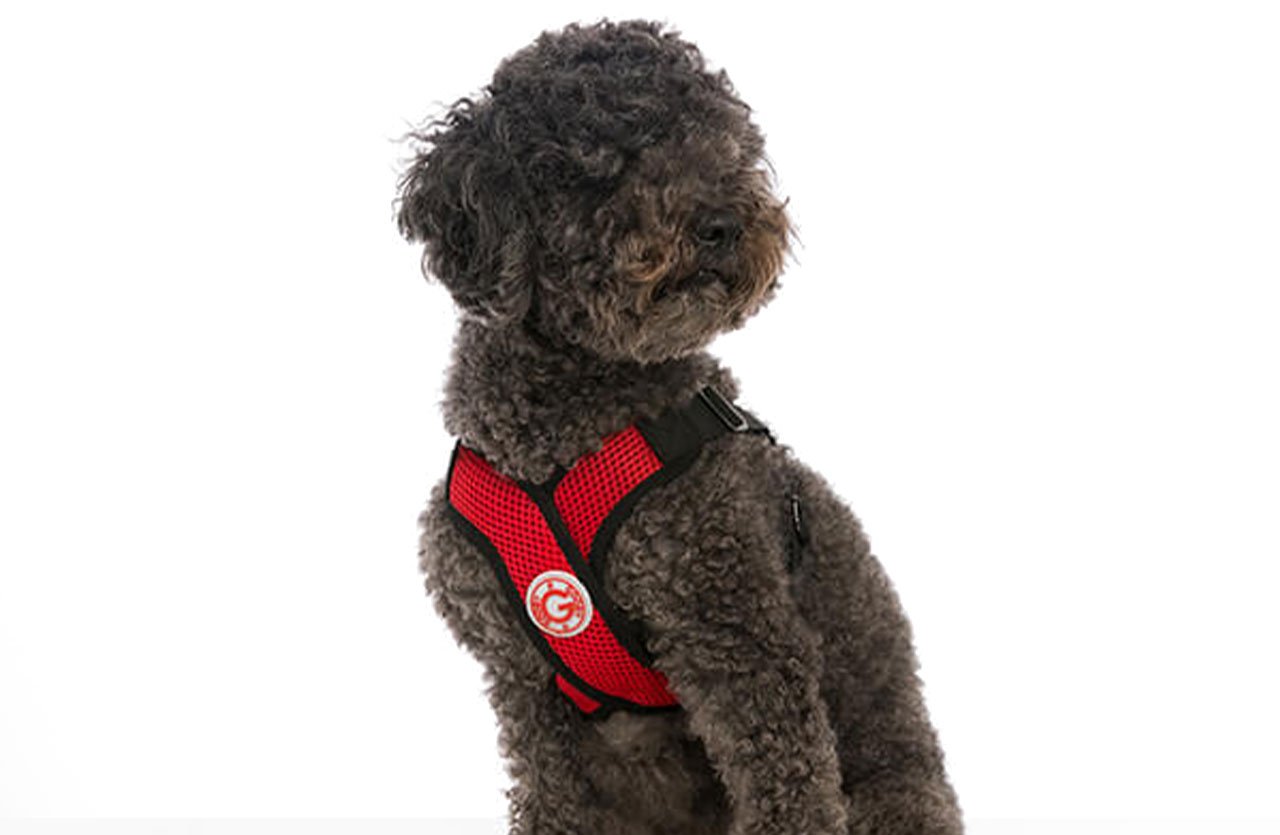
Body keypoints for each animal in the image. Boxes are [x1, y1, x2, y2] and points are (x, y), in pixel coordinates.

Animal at [394, 16, 962, 829]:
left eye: (724, 146)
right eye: (604, 160)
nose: (725, 222)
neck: (558, 443)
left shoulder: (735, 637)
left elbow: (790, 791)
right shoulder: (523, 680)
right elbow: (554, 798)